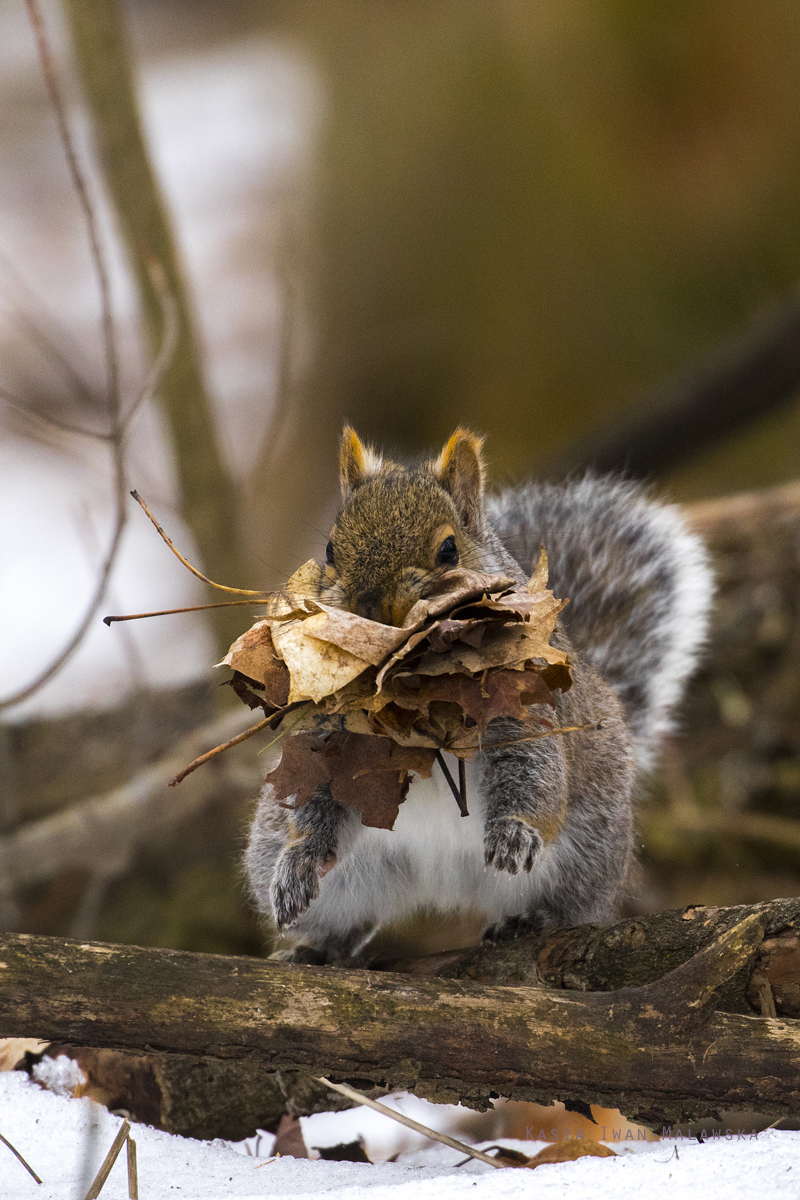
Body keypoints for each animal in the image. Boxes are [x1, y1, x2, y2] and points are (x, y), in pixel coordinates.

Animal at [245, 427, 714, 960]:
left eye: (448, 550)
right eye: (328, 550)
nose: (367, 606)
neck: (411, 690)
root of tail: (437, 885)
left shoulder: (523, 709)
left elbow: (532, 772)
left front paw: (515, 833)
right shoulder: (329, 731)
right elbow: (315, 794)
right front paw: (299, 860)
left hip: (589, 852)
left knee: (570, 903)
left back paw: (533, 920)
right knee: (346, 917)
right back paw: (318, 945)